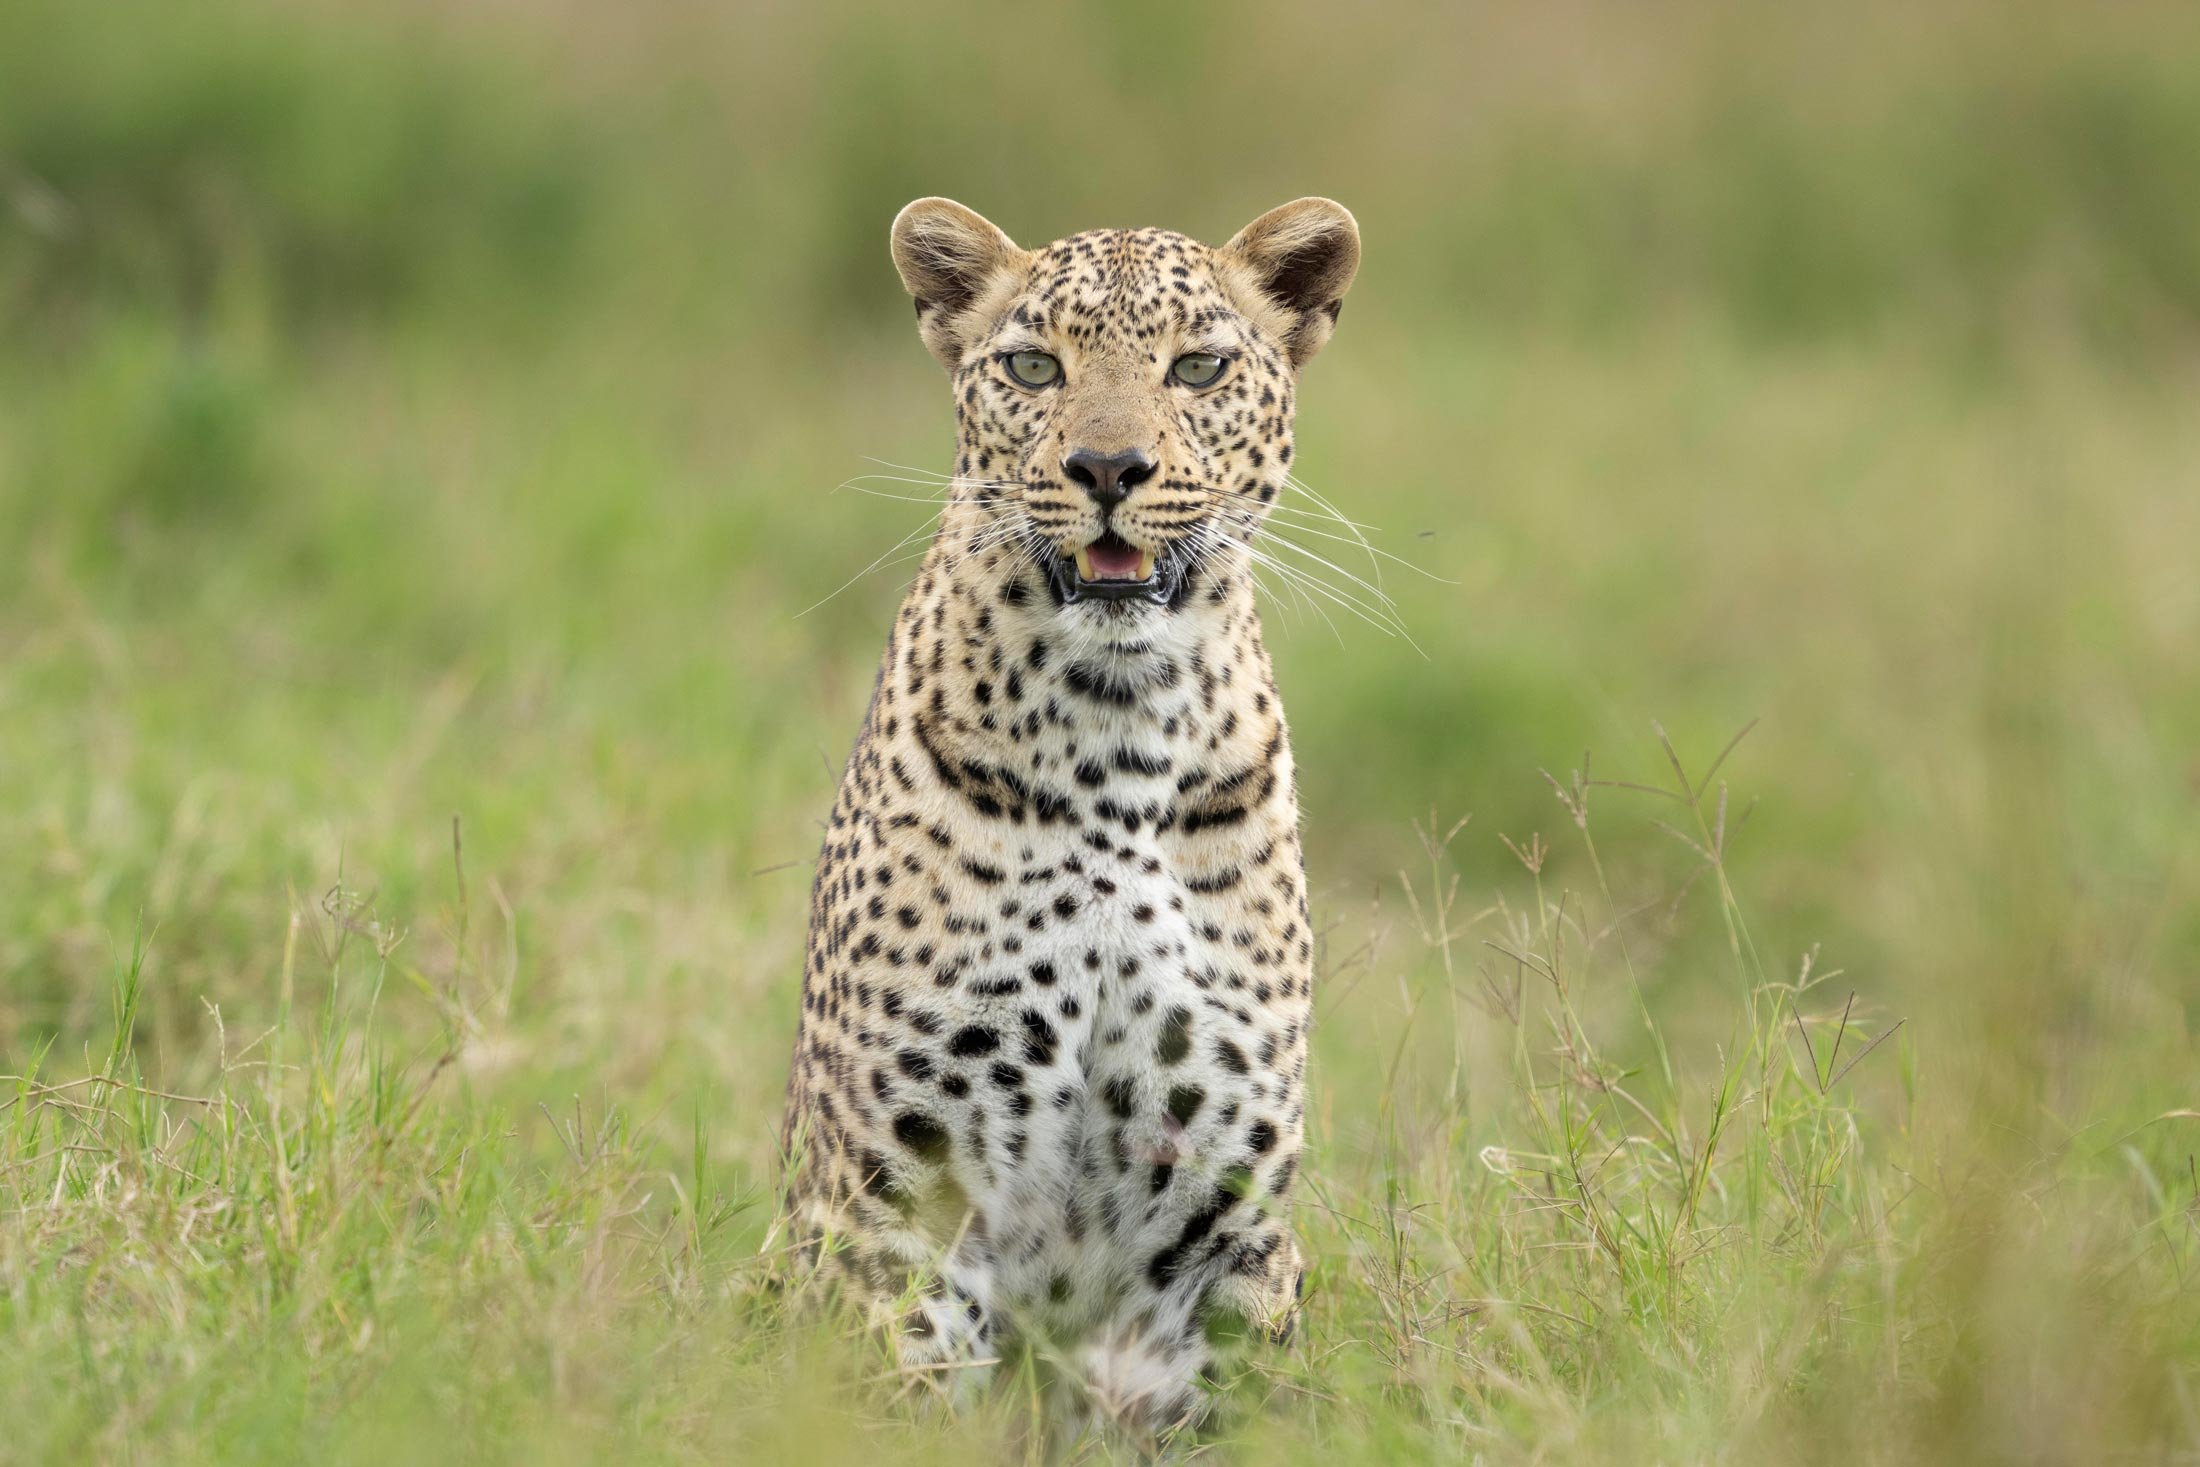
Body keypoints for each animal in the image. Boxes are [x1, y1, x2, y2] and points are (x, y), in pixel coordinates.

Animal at [778, 195, 1360, 1437]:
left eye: (1197, 367)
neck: (1116, 737)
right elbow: (898, 1386)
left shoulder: (1218, 1219)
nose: (1106, 466)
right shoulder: (899, 1187)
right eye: (1034, 367)